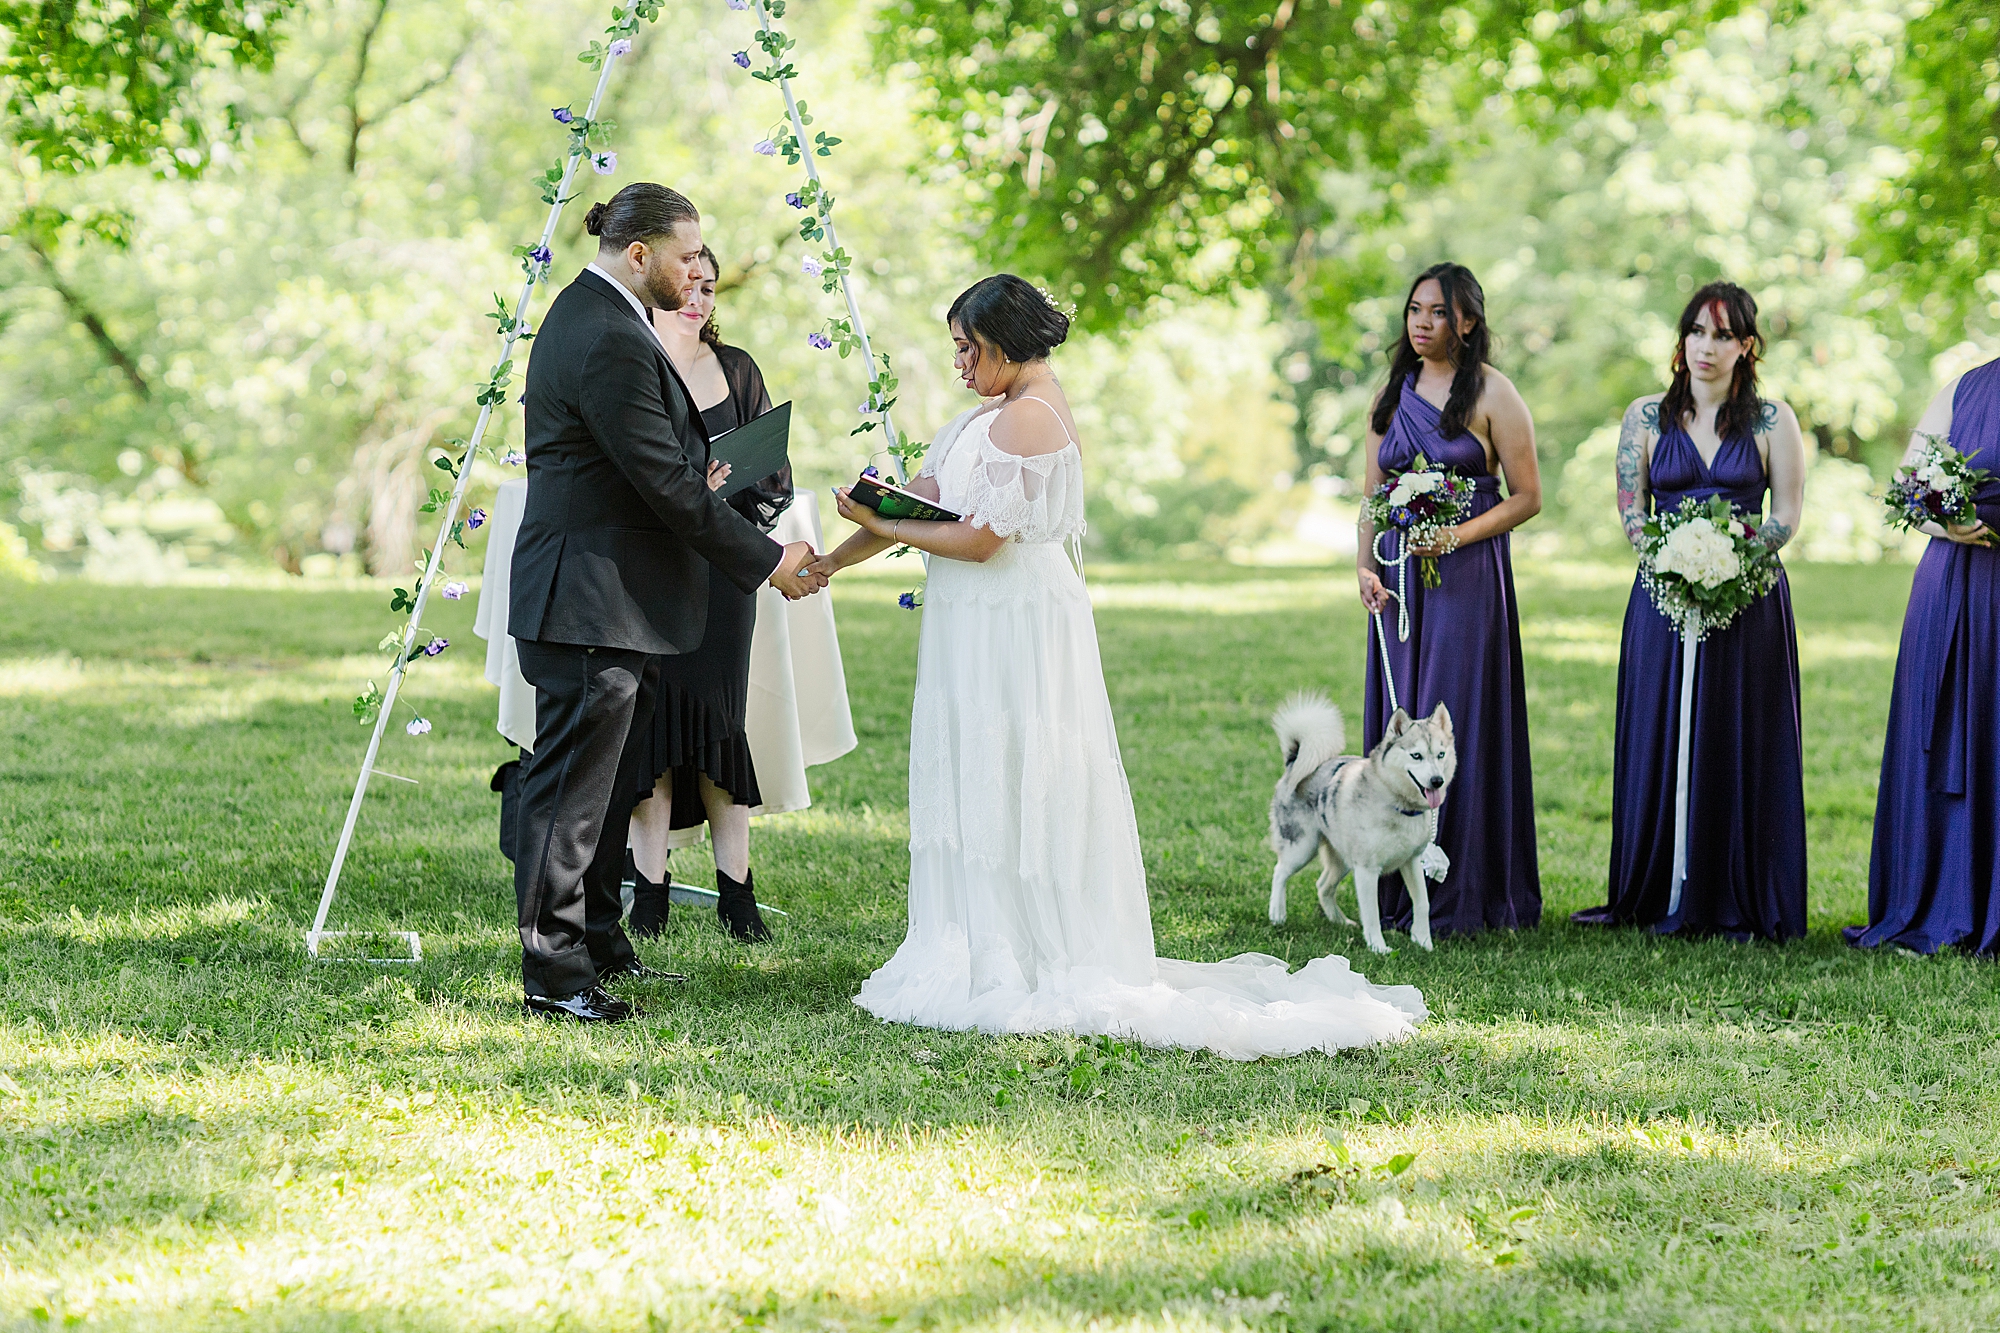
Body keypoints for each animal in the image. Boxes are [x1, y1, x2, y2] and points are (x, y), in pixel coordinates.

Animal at [1272, 688, 1464, 948]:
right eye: (1416, 756)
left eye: (1441, 754)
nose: (1437, 781)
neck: (1399, 805)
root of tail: (1294, 761)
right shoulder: (1367, 870)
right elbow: (1372, 912)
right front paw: (1378, 947)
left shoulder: (1412, 861)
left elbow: (1422, 903)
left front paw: (1423, 942)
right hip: (1302, 848)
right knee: (1280, 872)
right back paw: (1277, 914)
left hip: (1342, 859)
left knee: (1323, 886)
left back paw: (1339, 921)